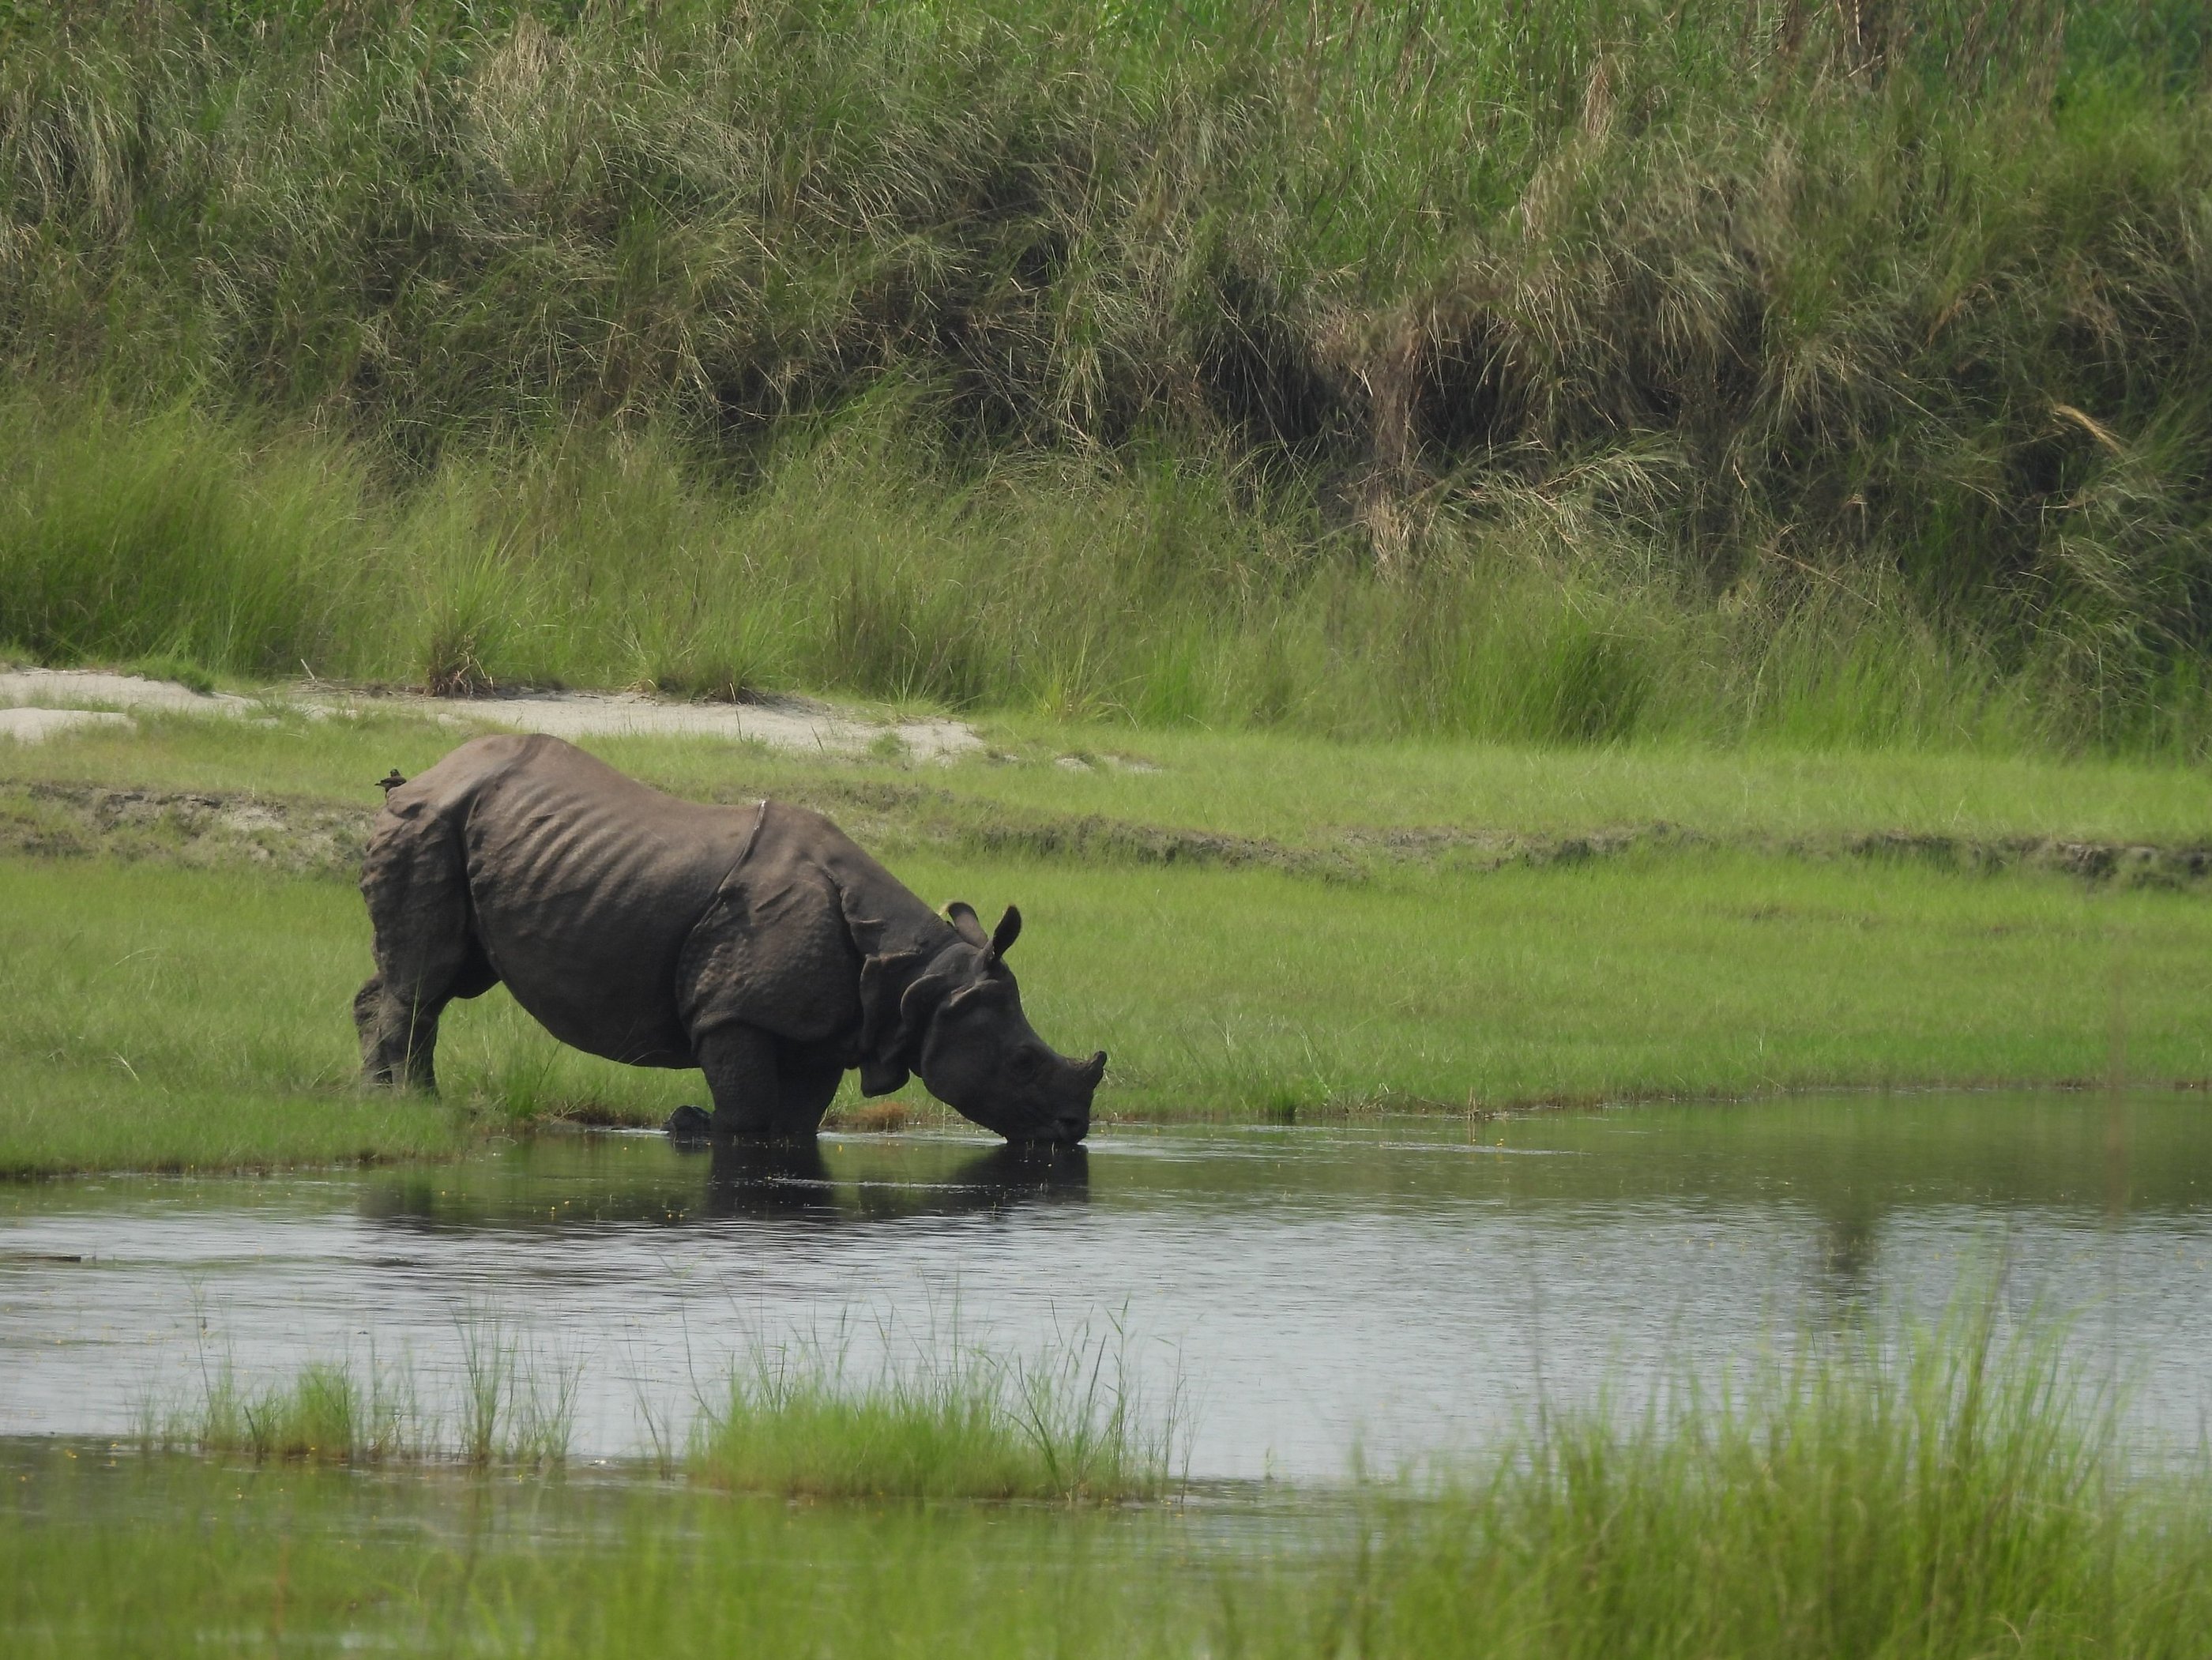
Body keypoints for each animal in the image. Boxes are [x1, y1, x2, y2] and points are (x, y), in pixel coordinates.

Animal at [354, 734, 1105, 1144]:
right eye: (1022, 1062)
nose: (1076, 1130)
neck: (916, 976)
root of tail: (418, 778)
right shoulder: (733, 1012)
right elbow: (746, 1113)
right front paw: (688, 1124)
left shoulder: (828, 1028)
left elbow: (793, 1123)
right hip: (429, 823)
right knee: (427, 979)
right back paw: (417, 1107)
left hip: (465, 830)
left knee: (436, 976)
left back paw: (376, 1097)